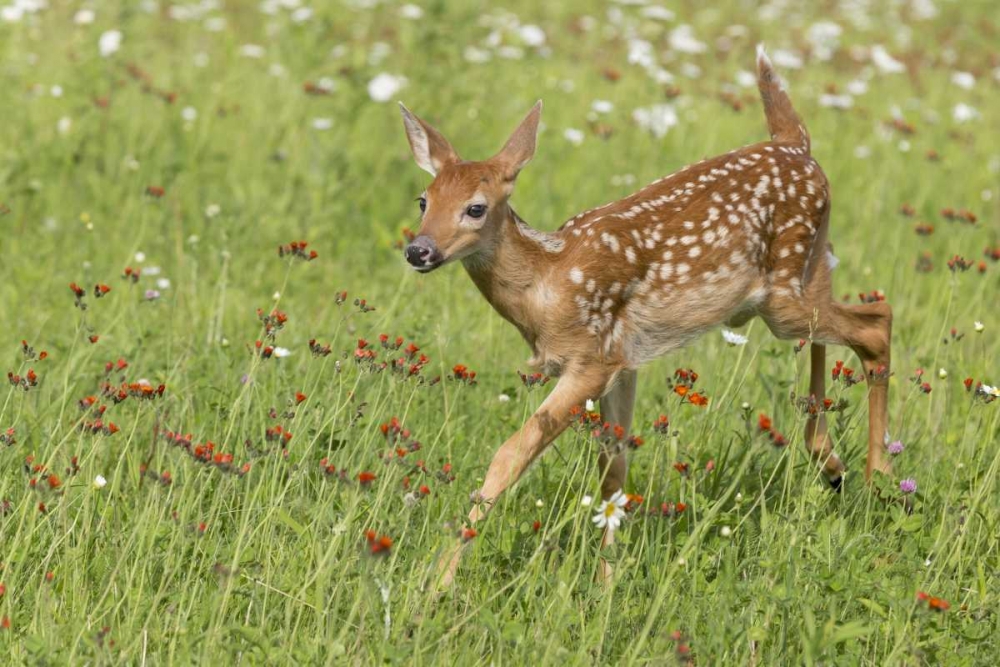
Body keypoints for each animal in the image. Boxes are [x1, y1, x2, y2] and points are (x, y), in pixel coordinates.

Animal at [398, 46, 893, 587]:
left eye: (476, 208)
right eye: (423, 200)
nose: (419, 250)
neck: (548, 282)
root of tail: (796, 144)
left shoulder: (591, 358)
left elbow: (512, 453)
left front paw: (437, 582)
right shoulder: (623, 360)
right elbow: (613, 466)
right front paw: (607, 580)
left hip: (785, 292)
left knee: (876, 322)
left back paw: (879, 483)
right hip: (803, 271)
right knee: (842, 318)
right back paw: (830, 461)